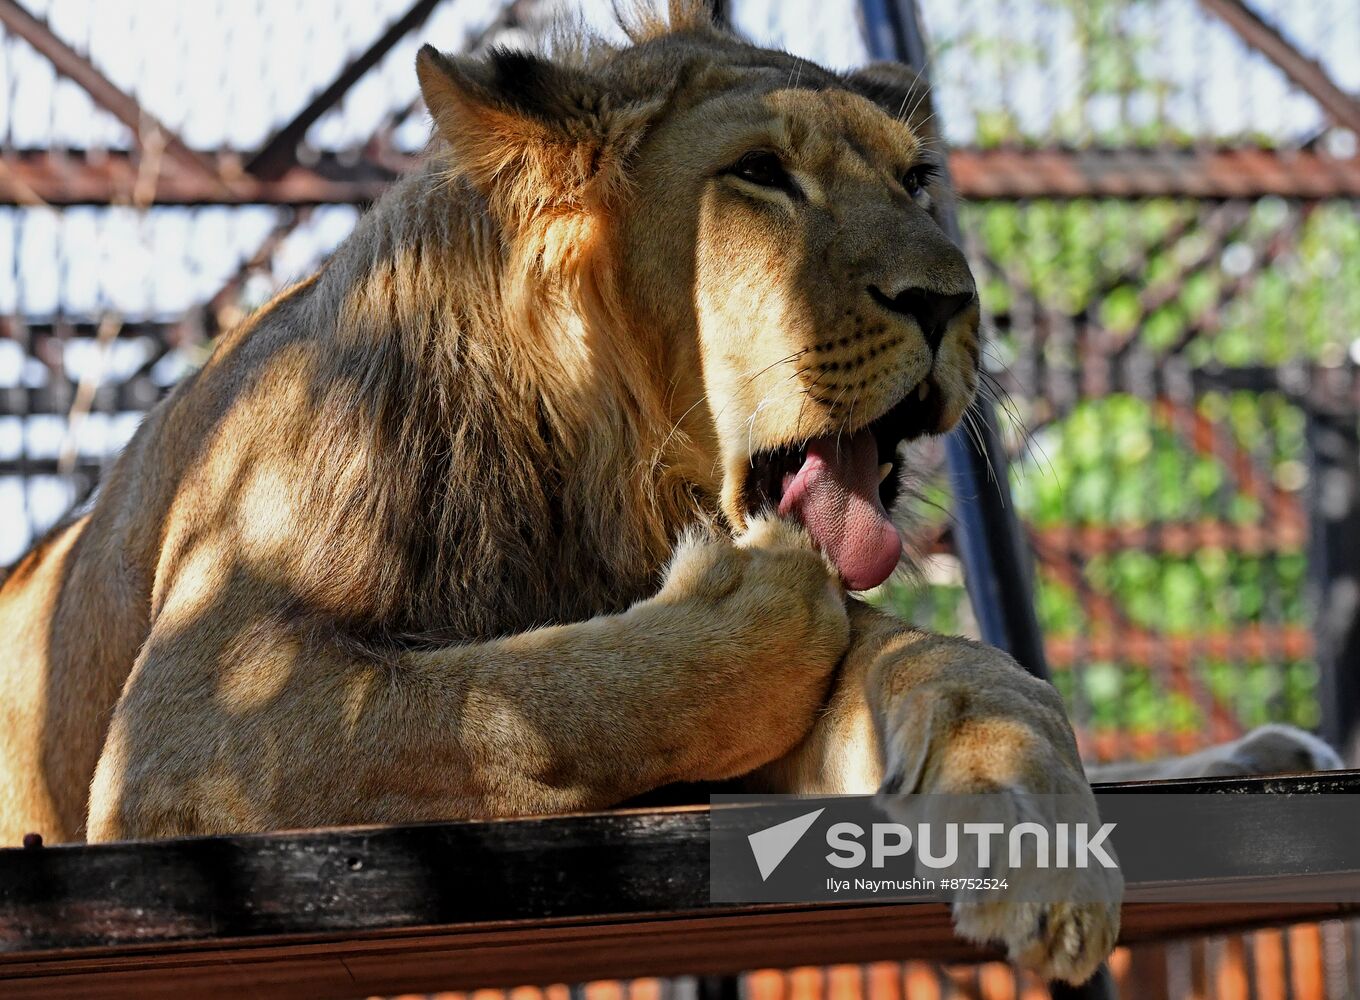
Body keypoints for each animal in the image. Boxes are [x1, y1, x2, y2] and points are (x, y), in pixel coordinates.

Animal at [0, 0, 1338, 985]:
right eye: (759, 176)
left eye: (918, 182)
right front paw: (749, 613)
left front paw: (1013, 789)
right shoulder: (200, 710)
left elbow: (933, 658)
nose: (951, 300)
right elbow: (492, 702)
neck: (601, 475)